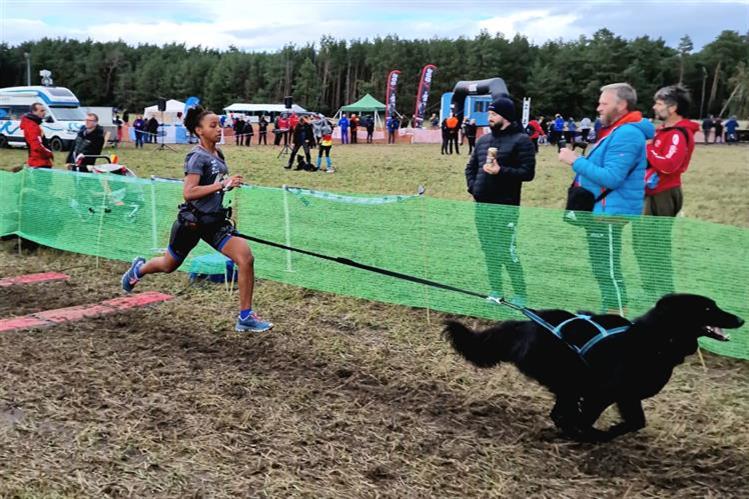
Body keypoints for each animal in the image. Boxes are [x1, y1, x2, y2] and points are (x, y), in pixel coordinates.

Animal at [444, 294, 744, 444]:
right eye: (709, 308)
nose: (741, 319)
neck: (653, 339)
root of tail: (523, 325)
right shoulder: (605, 392)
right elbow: (592, 419)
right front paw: (591, 435)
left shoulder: (623, 396)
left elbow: (635, 422)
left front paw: (596, 434)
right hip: (567, 377)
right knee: (562, 411)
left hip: (570, 382)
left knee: (561, 411)